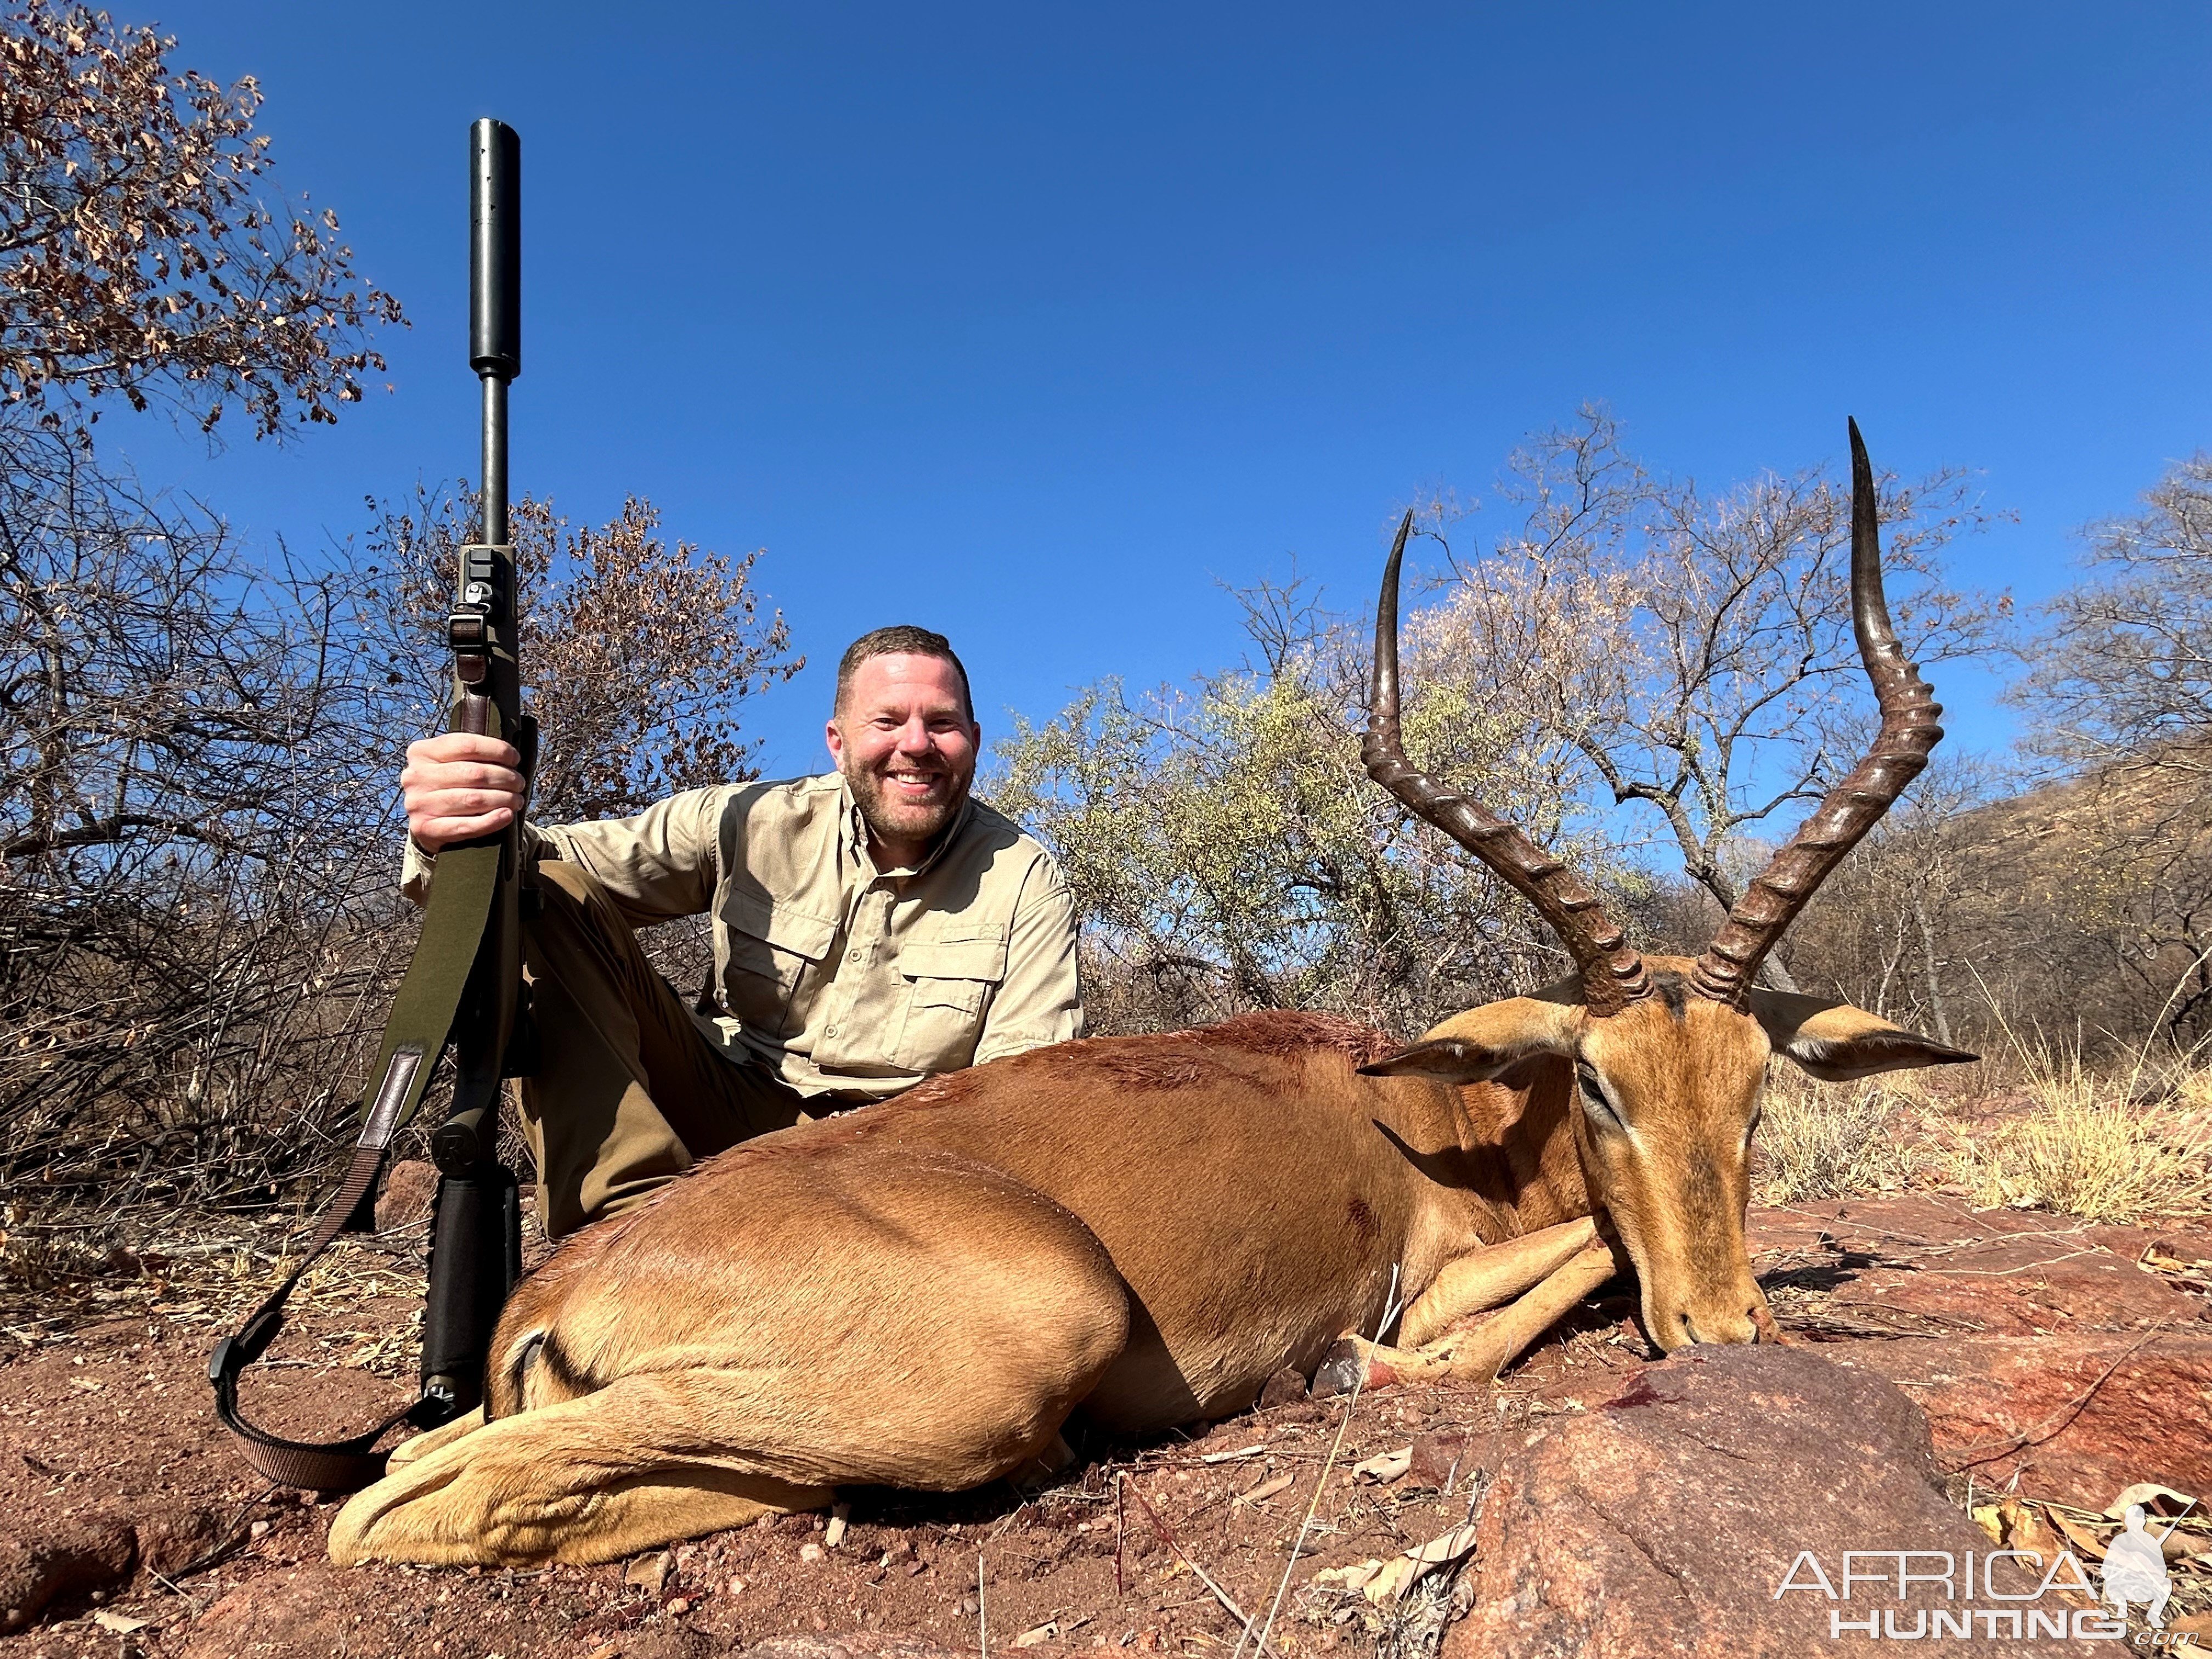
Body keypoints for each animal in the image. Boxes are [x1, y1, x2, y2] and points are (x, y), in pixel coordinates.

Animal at [327, 425, 1973, 1575]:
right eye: (1606, 1086)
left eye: (1757, 1098)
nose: (1727, 1330)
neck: (1442, 1123)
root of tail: (551, 1292)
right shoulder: (1445, 1265)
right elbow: (1526, 1289)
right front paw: (1363, 1362)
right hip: (1022, 1336)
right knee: (393, 1502)